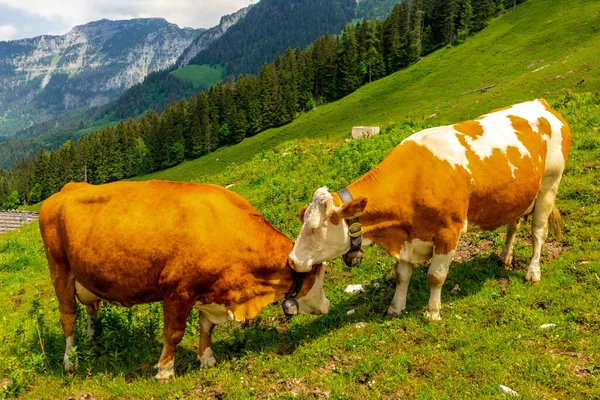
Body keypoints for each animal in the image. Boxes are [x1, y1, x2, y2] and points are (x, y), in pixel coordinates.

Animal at [39, 181, 330, 382]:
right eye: (320, 275)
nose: (327, 305)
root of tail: (66, 189)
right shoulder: (178, 290)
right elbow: (174, 333)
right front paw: (165, 371)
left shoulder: (208, 289)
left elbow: (206, 327)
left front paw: (207, 359)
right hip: (60, 270)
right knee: (68, 317)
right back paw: (70, 361)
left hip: (86, 276)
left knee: (92, 308)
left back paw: (94, 338)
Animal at [290, 101, 572, 322]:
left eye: (314, 228)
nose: (292, 260)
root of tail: (541, 104)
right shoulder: (408, 233)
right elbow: (402, 275)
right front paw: (395, 307)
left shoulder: (448, 232)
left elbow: (436, 276)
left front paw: (432, 312)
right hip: (518, 196)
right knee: (513, 225)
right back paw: (505, 257)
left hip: (550, 184)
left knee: (538, 232)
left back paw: (533, 272)